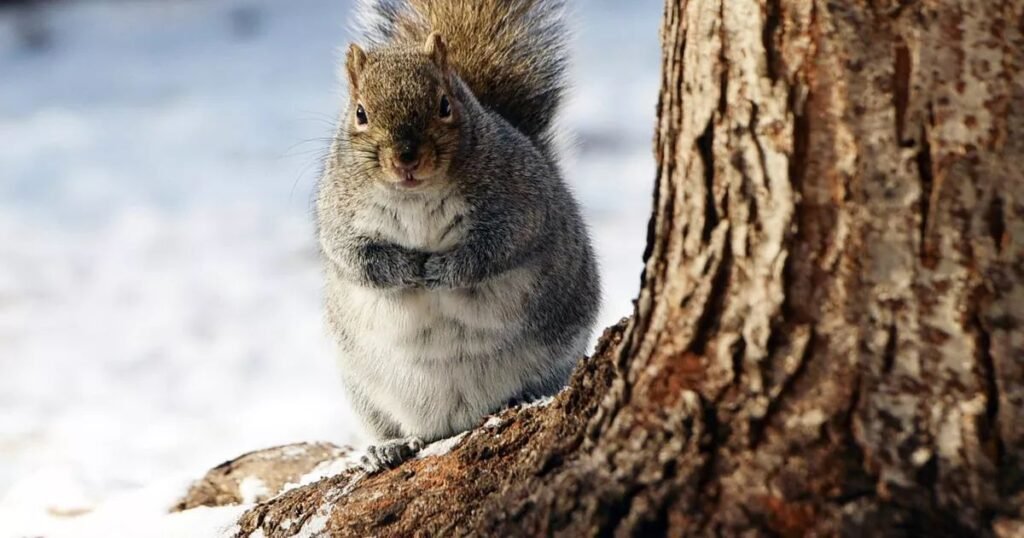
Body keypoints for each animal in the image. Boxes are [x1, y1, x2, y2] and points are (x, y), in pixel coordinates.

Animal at [316, 0, 599, 472]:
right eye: (360, 113)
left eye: (444, 104)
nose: (406, 157)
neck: (415, 195)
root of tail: (453, 421)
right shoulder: (337, 214)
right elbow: (356, 259)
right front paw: (406, 268)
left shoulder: (520, 204)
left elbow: (495, 249)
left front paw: (441, 270)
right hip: (364, 392)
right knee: (394, 428)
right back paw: (388, 447)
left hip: (559, 351)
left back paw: (525, 395)